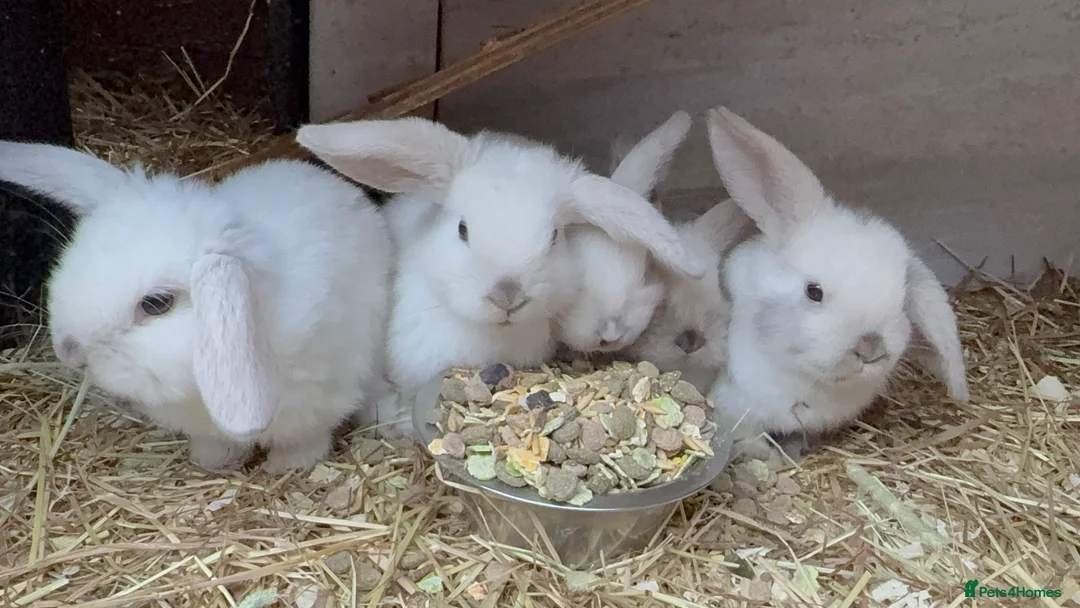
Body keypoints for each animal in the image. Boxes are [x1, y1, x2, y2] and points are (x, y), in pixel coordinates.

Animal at [0, 142, 394, 473]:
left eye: (156, 304)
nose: (69, 352)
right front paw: (212, 463)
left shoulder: (320, 401)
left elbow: (306, 440)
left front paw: (286, 467)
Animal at [701, 106, 970, 461]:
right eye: (813, 292)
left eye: (902, 300)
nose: (871, 347)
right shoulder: (735, 410)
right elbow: (750, 440)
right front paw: (770, 458)